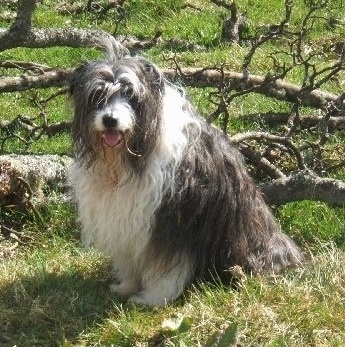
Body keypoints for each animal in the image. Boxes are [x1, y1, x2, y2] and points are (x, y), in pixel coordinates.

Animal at [68, 47, 302, 308]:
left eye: (130, 95)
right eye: (97, 94)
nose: (110, 120)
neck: (129, 158)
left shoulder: (174, 221)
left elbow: (166, 268)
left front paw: (154, 298)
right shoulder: (126, 221)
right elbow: (130, 260)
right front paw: (126, 286)